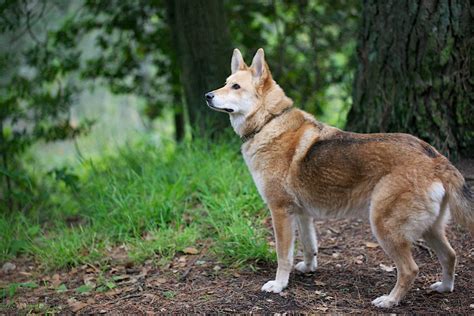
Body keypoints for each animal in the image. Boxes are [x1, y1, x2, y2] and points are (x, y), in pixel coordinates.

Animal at [205, 48, 474, 308]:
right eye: (225, 83)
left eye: (236, 87)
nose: (207, 95)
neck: (269, 121)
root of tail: (435, 158)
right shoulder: (302, 214)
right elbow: (310, 247)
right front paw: (308, 268)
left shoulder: (280, 212)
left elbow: (283, 255)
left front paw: (279, 285)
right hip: (430, 228)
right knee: (450, 255)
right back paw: (444, 287)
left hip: (385, 227)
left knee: (410, 269)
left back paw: (390, 301)